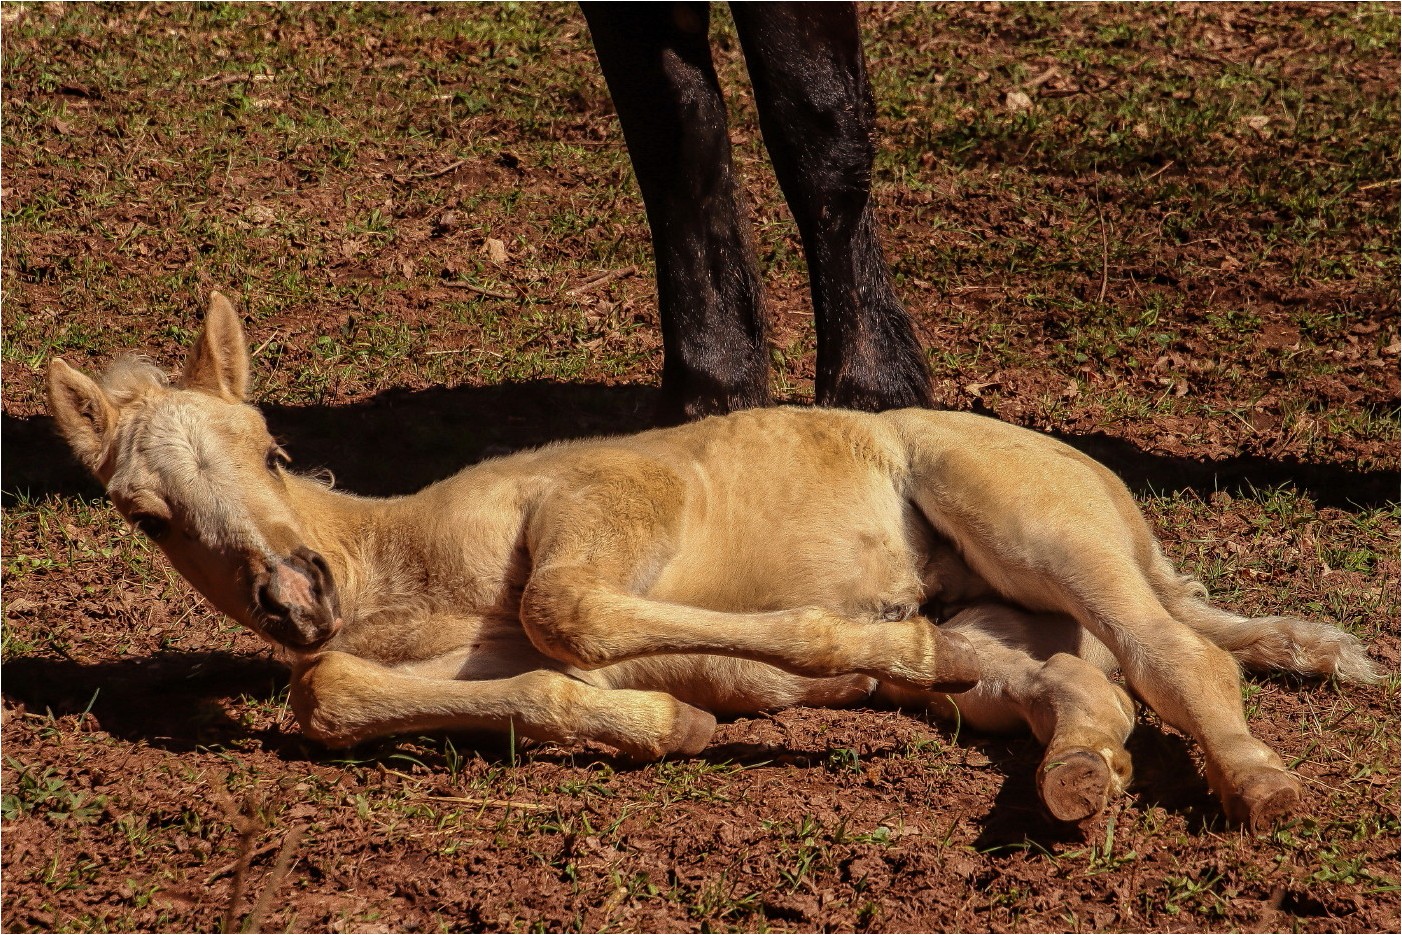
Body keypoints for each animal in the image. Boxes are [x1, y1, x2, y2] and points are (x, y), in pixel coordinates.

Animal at [46, 295, 1379, 829]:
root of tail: (1106, 486)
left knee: (1181, 653)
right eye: (146, 513)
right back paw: (1072, 782)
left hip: (1021, 515)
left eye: (268, 445)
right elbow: (329, 692)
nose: (293, 591)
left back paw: (1260, 785)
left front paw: (849, 647)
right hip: (1013, 634)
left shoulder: (615, 498)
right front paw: (674, 717)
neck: (412, 568)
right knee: (1088, 689)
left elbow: (567, 607)